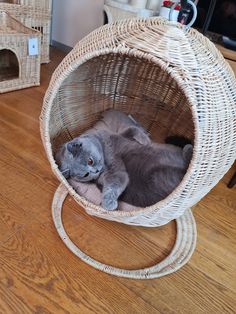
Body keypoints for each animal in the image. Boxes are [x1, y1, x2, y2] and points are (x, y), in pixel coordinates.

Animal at [56, 110, 193, 211]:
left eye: (90, 161)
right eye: (85, 174)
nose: (96, 171)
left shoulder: (120, 135)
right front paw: (109, 203)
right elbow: (114, 183)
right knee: (186, 166)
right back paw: (188, 149)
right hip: (160, 174)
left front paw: (145, 141)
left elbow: (132, 129)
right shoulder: (115, 173)